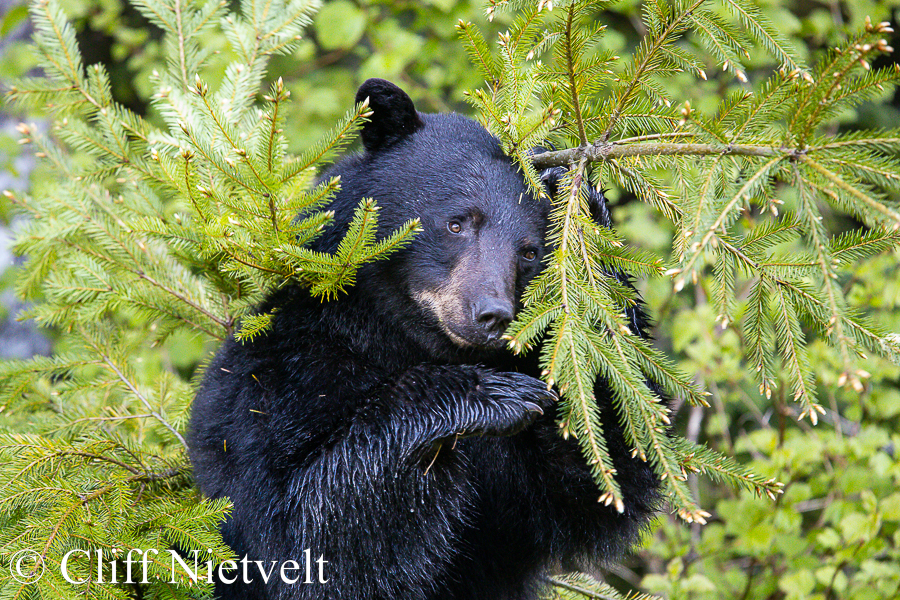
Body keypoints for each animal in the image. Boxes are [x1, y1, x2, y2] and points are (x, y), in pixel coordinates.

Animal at [188, 79, 652, 600]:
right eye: (457, 222)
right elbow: (300, 528)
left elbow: (594, 485)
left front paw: (581, 202)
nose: (492, 314)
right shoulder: (280, 374)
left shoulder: (516, 488)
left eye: (530, 252)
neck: (398, 337)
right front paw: (490, 394)